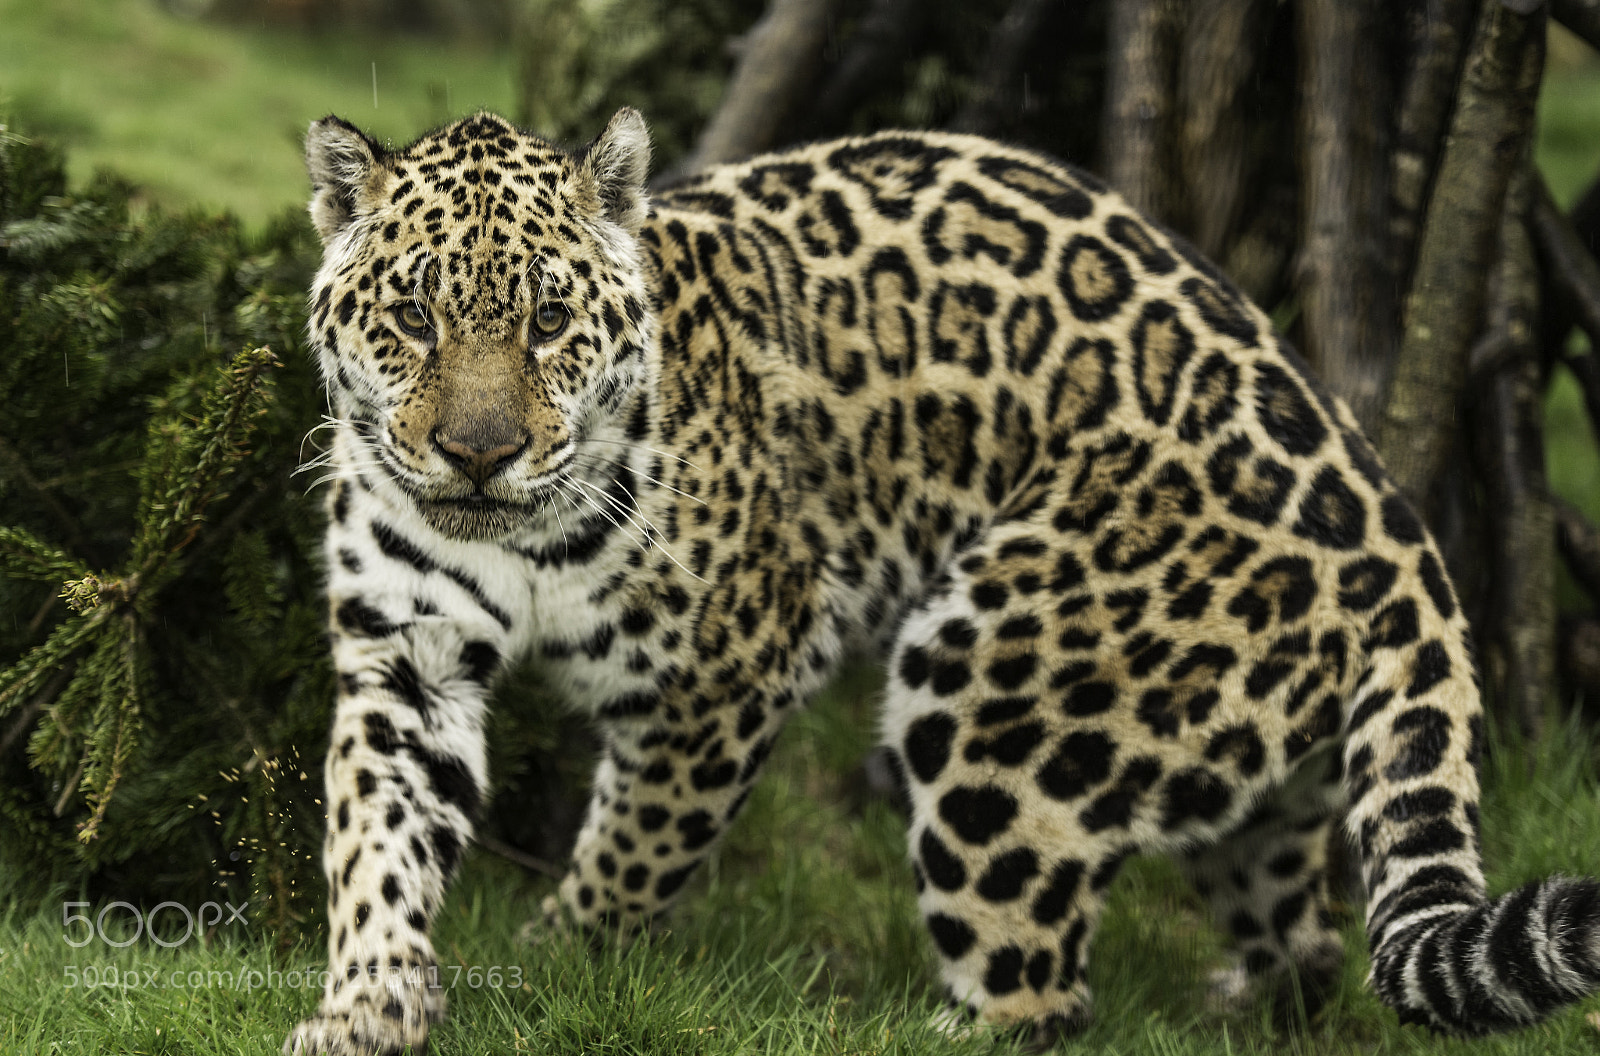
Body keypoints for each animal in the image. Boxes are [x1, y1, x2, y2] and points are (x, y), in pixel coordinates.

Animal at [284, 107, 1600, 1055]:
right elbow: (374, 838)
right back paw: (1253, 999)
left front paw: (561, 962)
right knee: (1304, 939)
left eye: (551, 324)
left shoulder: (733, 664)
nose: (479, 453)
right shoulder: (404, 652)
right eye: (412, 316)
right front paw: (368, 1007)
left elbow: (635, 850)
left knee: (1039, 992)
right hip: (1242, 777)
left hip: (990, 691)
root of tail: (1398, 538)